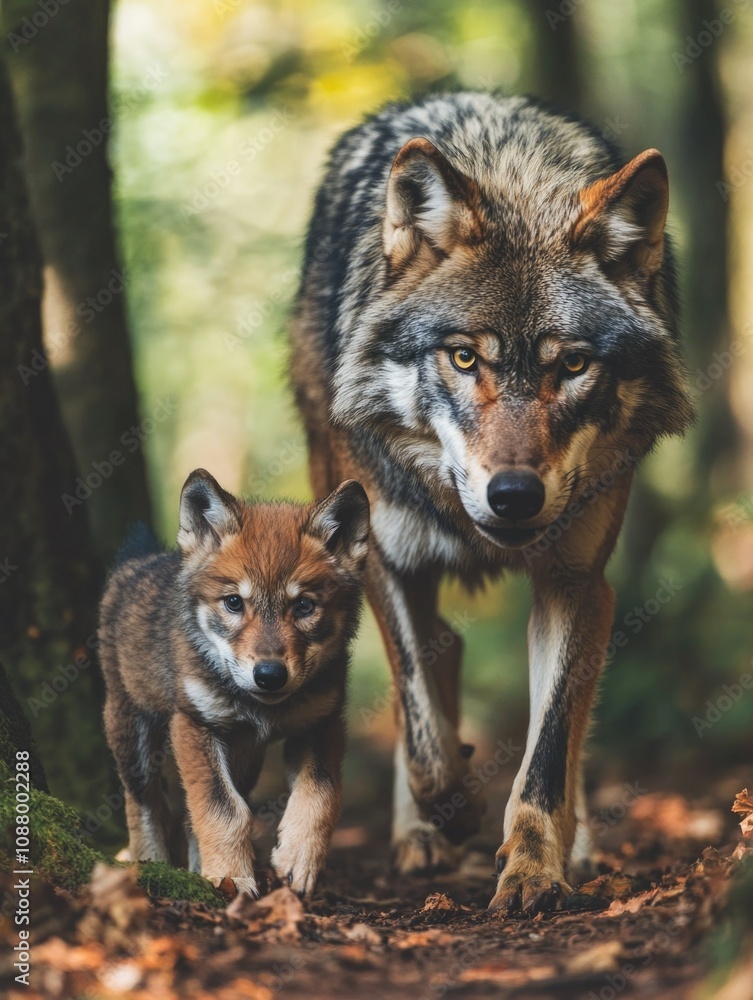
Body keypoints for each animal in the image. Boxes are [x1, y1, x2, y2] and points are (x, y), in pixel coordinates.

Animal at [99, 468, 369, 897]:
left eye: (304, 606)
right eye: (234, 603)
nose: (270, 675)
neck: (262, 710)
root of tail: (141, 560)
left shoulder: (320, 723)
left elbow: (320, 795)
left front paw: (298, 860)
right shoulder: (194, 725)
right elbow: (220, 808)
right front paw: (231, 876)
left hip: (244, 759)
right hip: (132, 735)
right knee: (143, 801)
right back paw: (149, 864)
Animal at [290, 93, 693, 912]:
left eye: (573, 366)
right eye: (464, 356)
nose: (513, 496)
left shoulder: (577, 584)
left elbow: (548, 749)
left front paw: (536, 867)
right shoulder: (383, 562)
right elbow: (422, 731)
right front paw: (453, 812)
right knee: (435, 665)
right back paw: (420, 836)